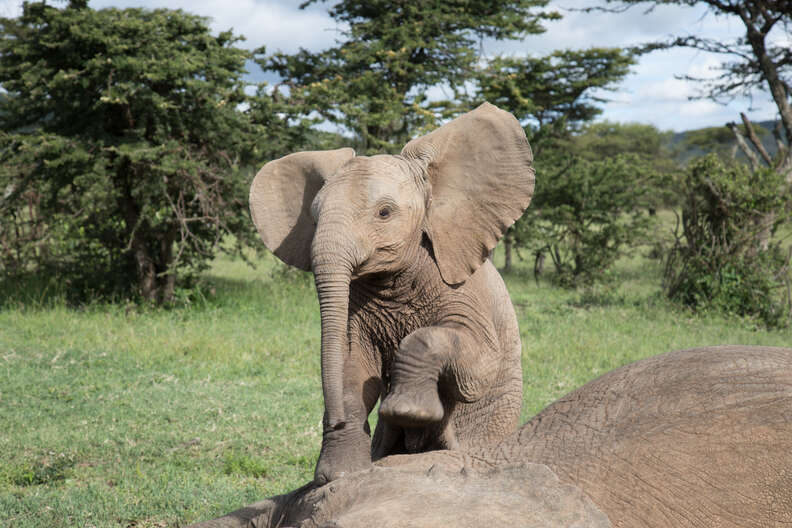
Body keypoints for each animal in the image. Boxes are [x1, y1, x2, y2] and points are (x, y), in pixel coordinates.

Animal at [252, 102, 540, 482]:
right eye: (313, 217)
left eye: (385, 213)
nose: (334, 419)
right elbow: (354, 367)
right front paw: (338, 474)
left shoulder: (465, 288)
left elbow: (479, 367)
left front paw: (409, 409)